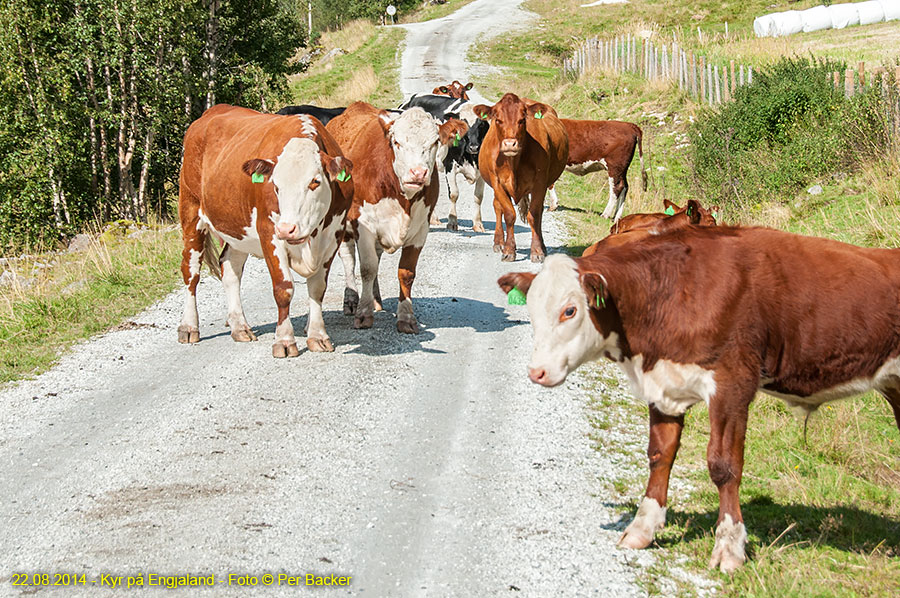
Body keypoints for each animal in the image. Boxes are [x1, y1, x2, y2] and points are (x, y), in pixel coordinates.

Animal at [178, 105, 354, 358]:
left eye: (314, 181)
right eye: (276, 185)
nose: (287, 229)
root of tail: (211, 112)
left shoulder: (333, 236)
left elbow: (318, 287)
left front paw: (318, 336)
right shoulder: (269, 233)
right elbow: (283, 288)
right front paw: (284, 340)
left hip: (236, 228)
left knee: (230, 268)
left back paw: (240, 327)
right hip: (191, 211)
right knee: (191, 272)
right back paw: (189, 326)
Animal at [326, 103, 460, 338]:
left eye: (435, 142)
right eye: (397, 142)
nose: (418, 172)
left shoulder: (420, 230)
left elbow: (406, 273)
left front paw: (406, 318)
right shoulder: (364, 226)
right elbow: (367, 268)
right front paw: (363, 314)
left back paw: (376, 299)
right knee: (349, 259)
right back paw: (351, 300)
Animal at [474, 94, 568, 262]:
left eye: (522, 120)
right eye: (498, 120)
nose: (510, 144)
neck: (513, 164)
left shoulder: (540, 184)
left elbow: (534, 215)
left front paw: (537, 251)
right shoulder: (498, 183)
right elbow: (509, 215)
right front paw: (509, 250)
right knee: (497, 207)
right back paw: (499, 243)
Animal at [500, 227, 900, 576]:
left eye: (569, 310)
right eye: (531, 312)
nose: (537, 371)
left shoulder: (733, 383)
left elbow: (724, 466)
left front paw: (729, 547)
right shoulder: (663, 385)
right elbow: (659, 455)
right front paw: (642, 528)